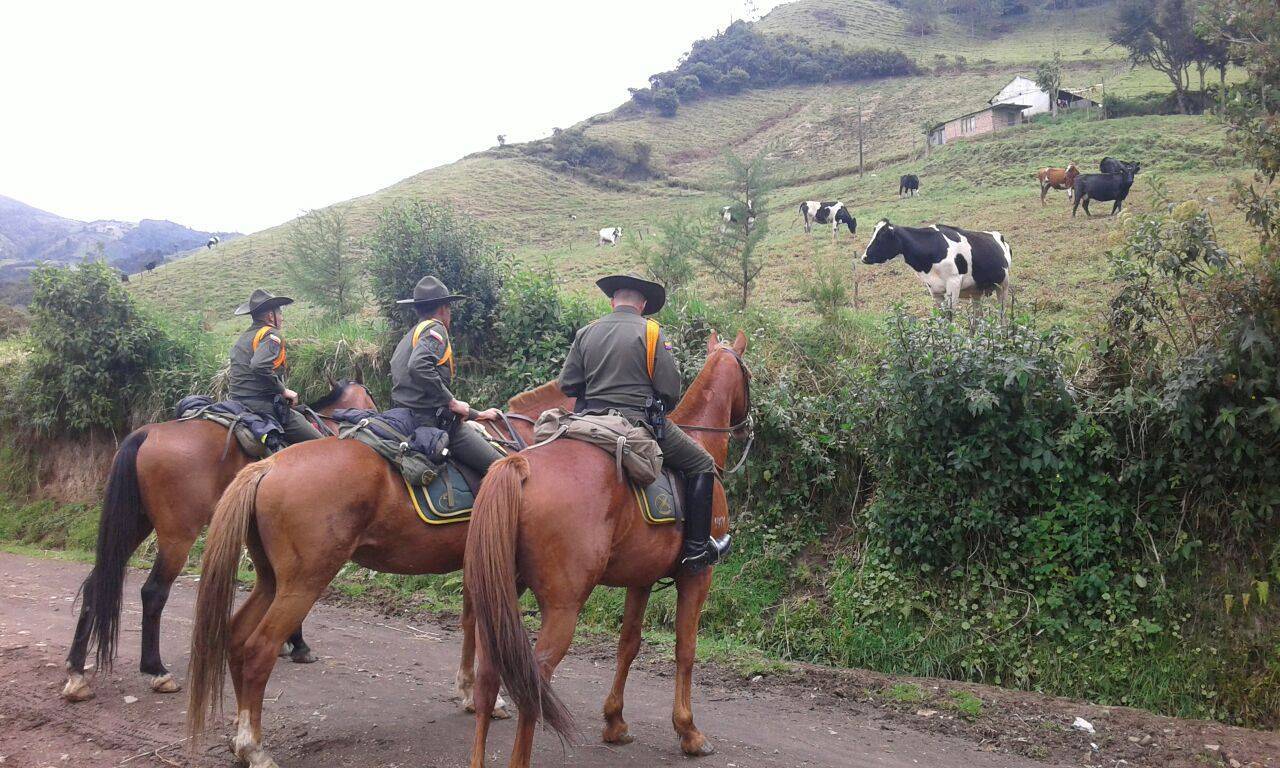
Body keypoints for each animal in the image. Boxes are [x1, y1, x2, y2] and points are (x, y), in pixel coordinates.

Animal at [61, 380, 378, 704]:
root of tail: (146, 433)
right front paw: (299, 646)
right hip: (178, 536)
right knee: (153, 592)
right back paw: (157, 671)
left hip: (135, 525)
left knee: (97, 583)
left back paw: (76, 673)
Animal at [184, 382, 574, 768]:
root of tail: (269, 464)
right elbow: (483, 629)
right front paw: (488, 700)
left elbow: (469, 623)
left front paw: (467, 693)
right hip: (303, 583)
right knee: (258, 649)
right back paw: (254, 747)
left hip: (271, 581)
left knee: (236, 637)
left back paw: (240, 739)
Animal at [465, 330, 752, 768]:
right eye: (748, 375)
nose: (747, 427)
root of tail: (518, 466)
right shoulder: (697, 576)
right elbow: (685, 649)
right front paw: (688, 731)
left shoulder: (641, 580)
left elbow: (628, 645)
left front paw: (614, 721)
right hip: (563, 608)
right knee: (534, 681)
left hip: (497, 600)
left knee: (488, 677)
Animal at [859, 219, 1011, 312]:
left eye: (881, 237)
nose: (864, 257)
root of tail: (997, 234)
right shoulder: (934, 289)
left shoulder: (953, 283)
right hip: (976, 292)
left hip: (1003, 285)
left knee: (1002, 312)